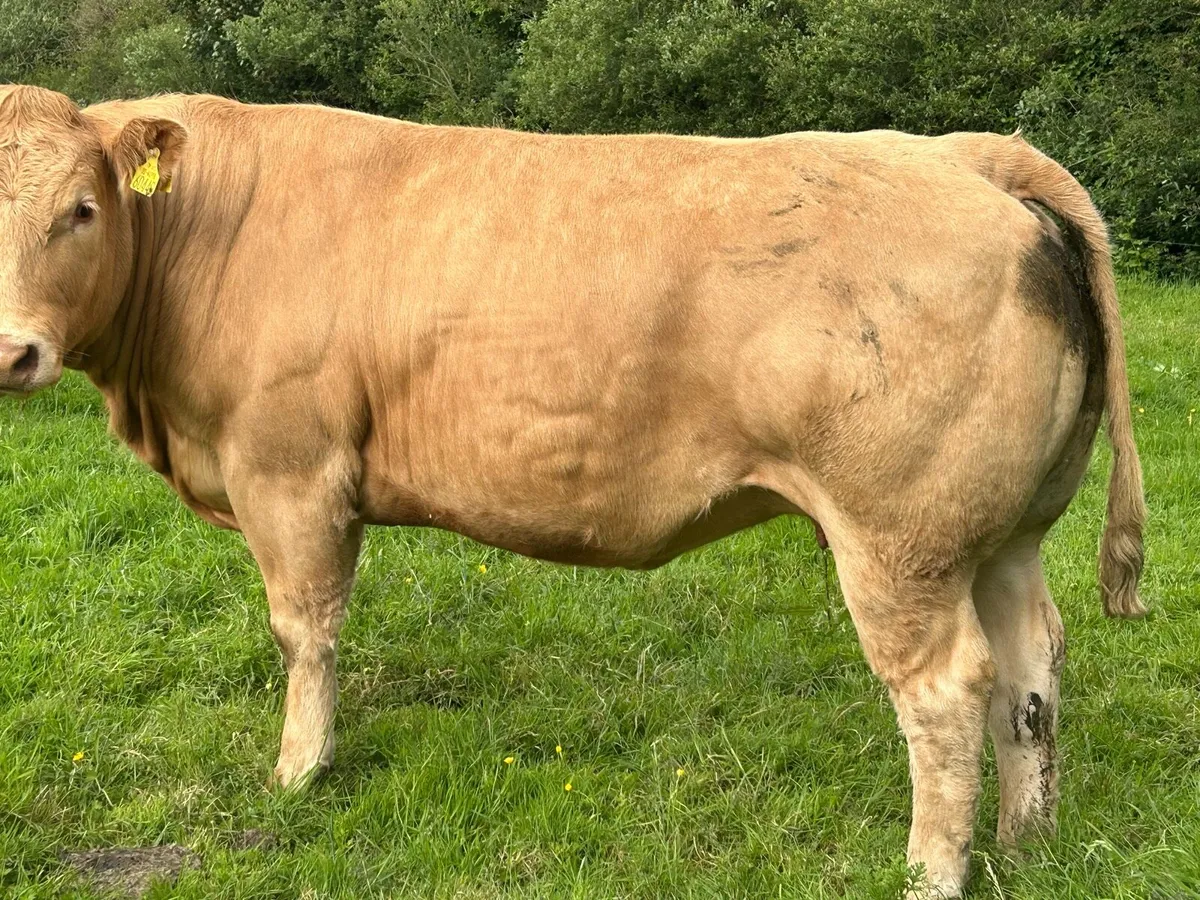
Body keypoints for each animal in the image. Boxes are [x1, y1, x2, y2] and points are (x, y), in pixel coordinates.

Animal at [0, 84, 1145, 897]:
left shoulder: (289, 467)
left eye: (82, 209)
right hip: (1000, 530)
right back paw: (1028, 843)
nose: (11, 352)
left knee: (949, 690)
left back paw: (931, 873)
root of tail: (963, 152)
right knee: (1030, 671)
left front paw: (300, 771)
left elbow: (305, 628)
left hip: (899, 537)